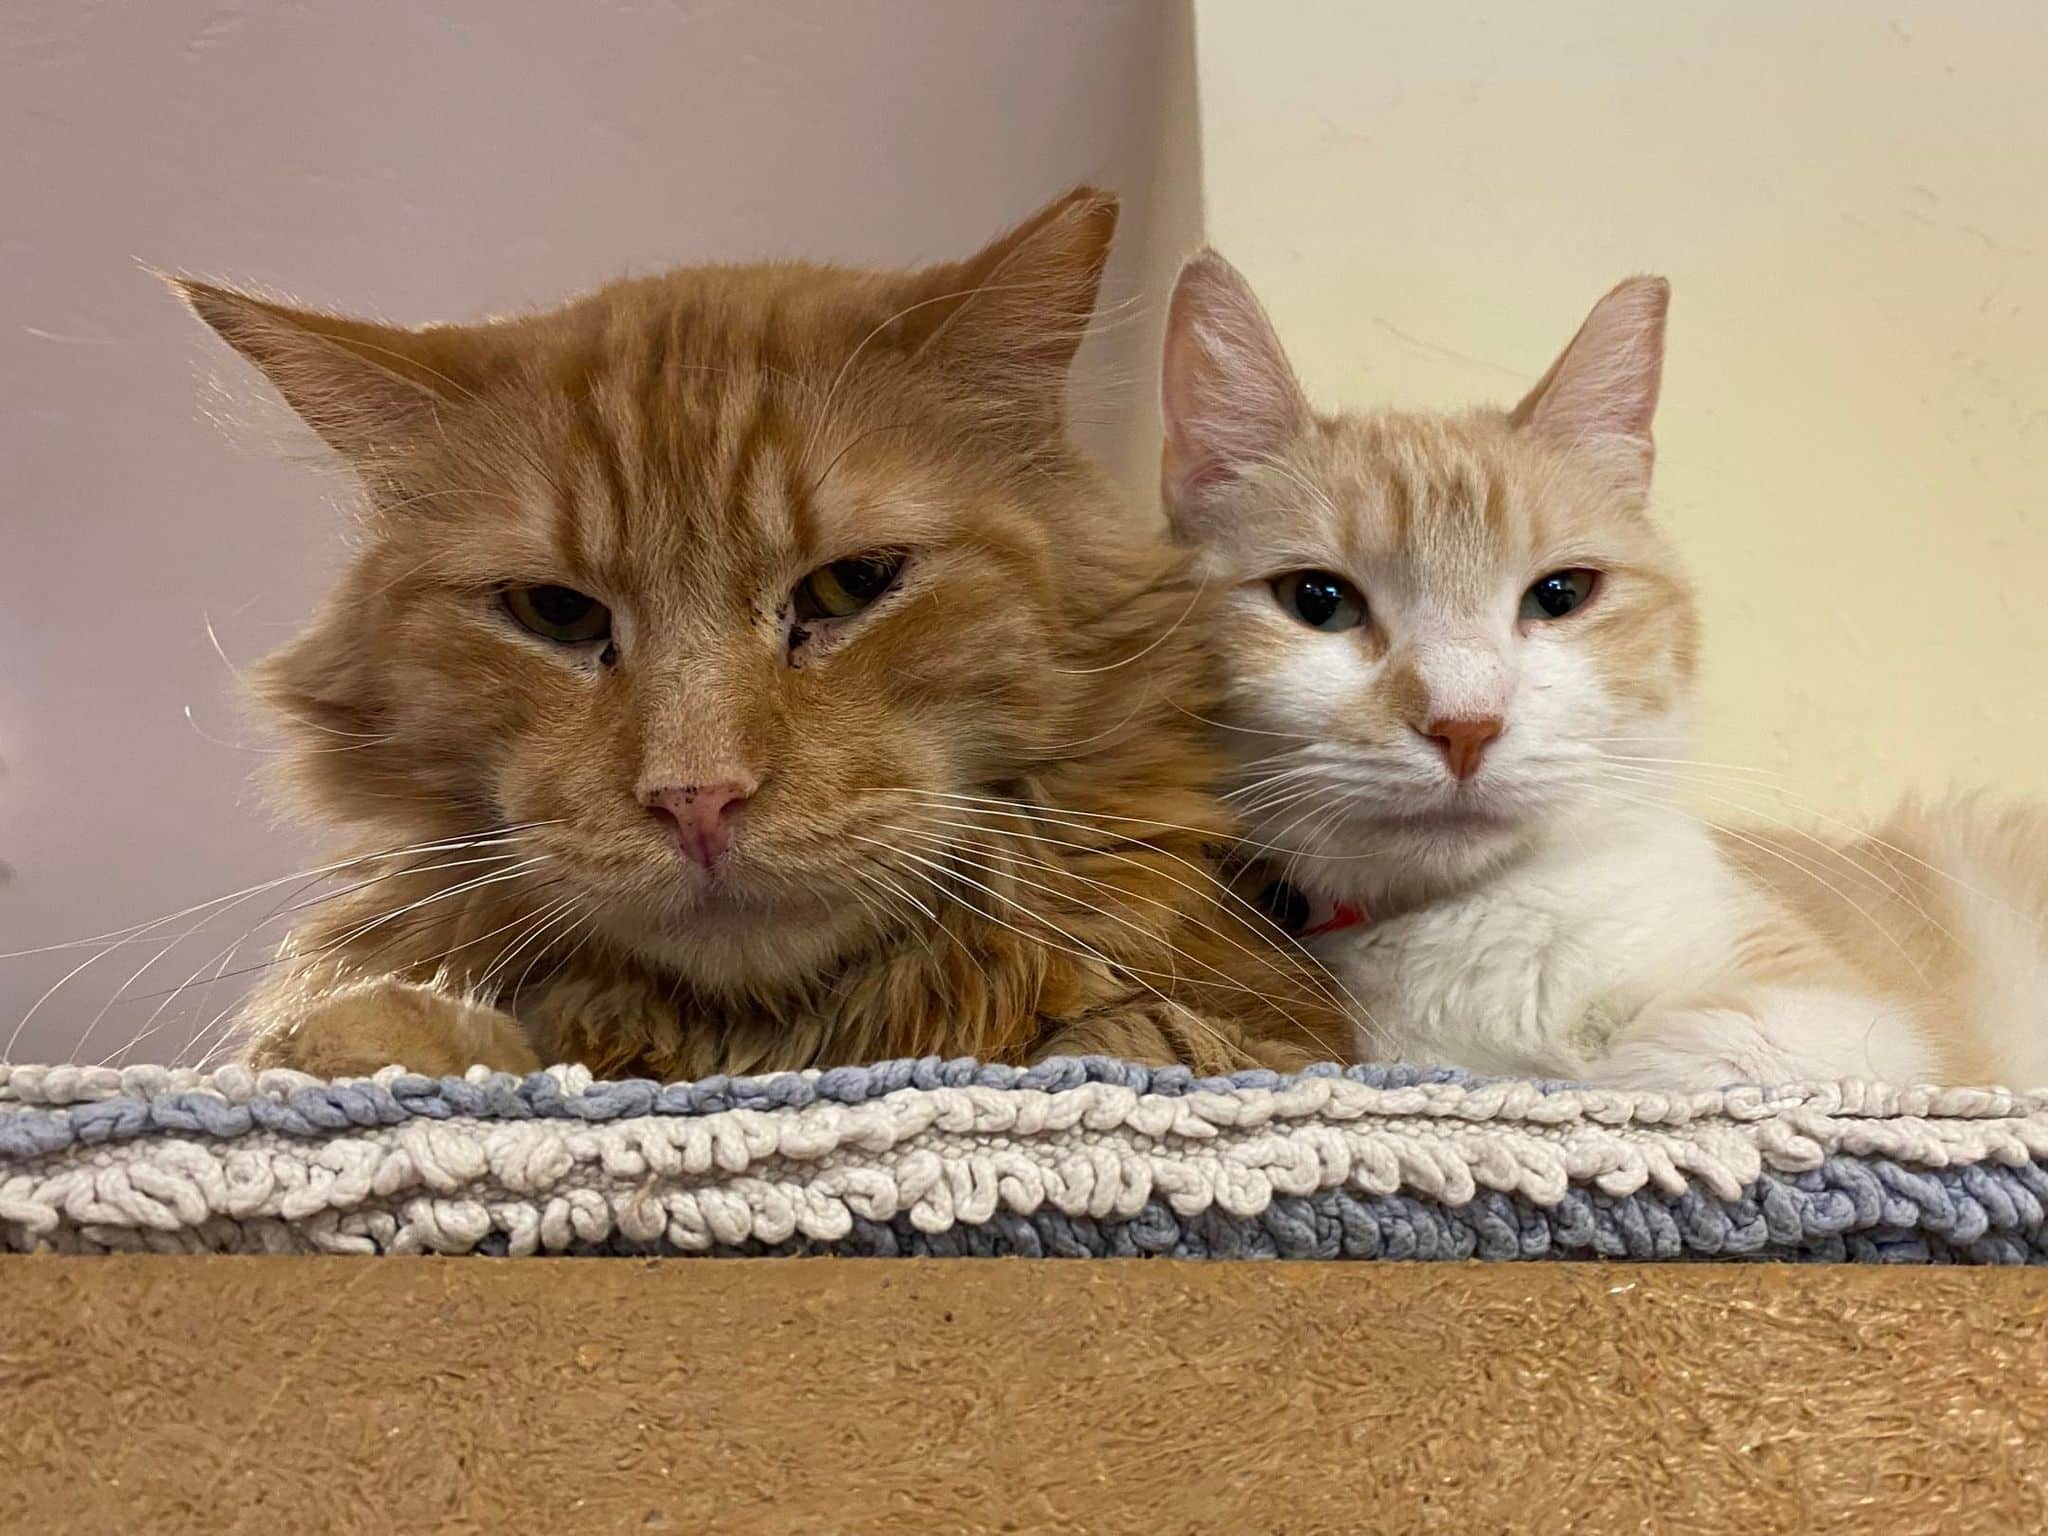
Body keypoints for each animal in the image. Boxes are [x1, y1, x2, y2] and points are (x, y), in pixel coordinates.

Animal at [176, 192, 1351, 1081]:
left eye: (847, 586)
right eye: (557, 613)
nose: (697, 799)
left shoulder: (1284, 1032)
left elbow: (1150, 1031)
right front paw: (379, 1041)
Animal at [1163, 252, 2039, 1089]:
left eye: (1560, 594)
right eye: (1319, 600)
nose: (1465, 724)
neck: (1478, 930)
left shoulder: (1872, 1028)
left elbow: (1669, 1064)